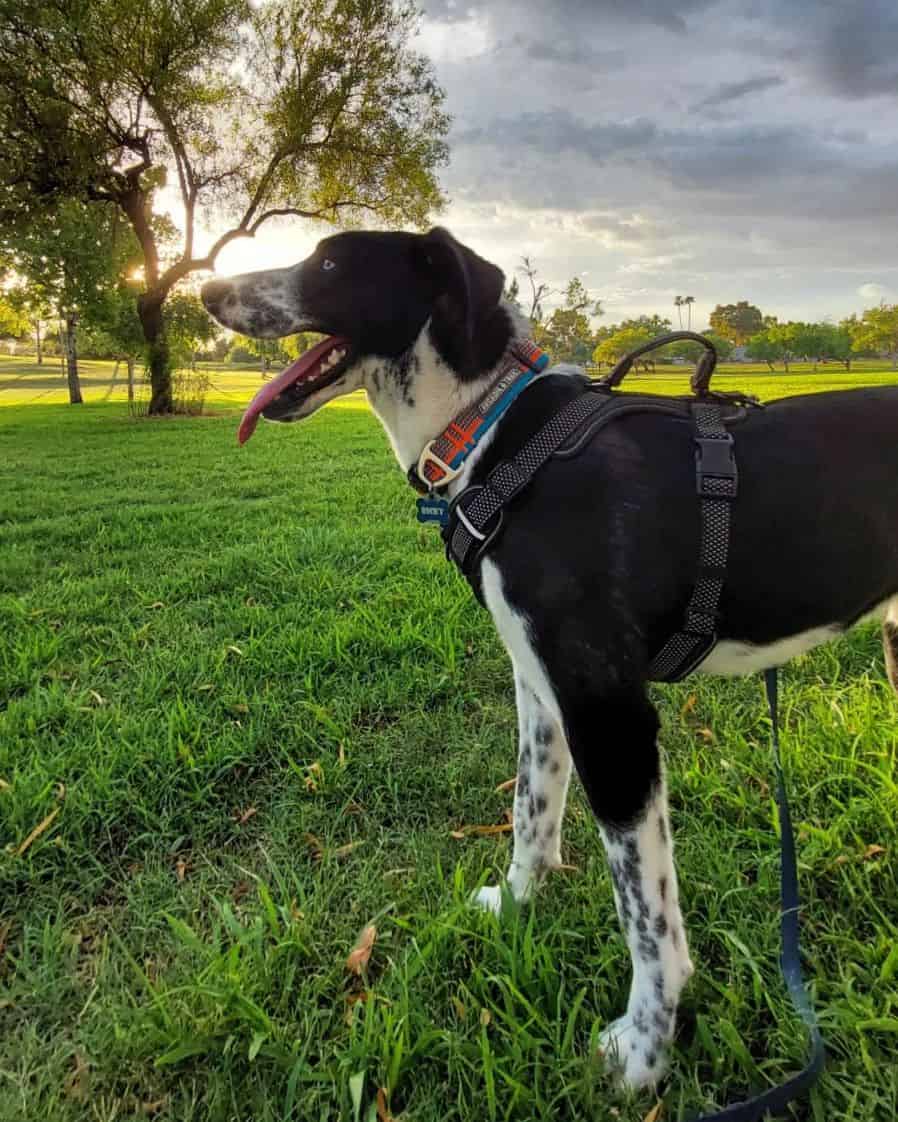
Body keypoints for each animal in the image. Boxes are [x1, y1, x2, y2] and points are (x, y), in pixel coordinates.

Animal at [199, 225, 897, 1086]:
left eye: (328, 262)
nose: (205, 292)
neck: (488, 429)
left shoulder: (610, 714)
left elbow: (647, 917)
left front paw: (644, 1050)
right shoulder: (538, 687)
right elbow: (531, 811)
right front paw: (517, 904)